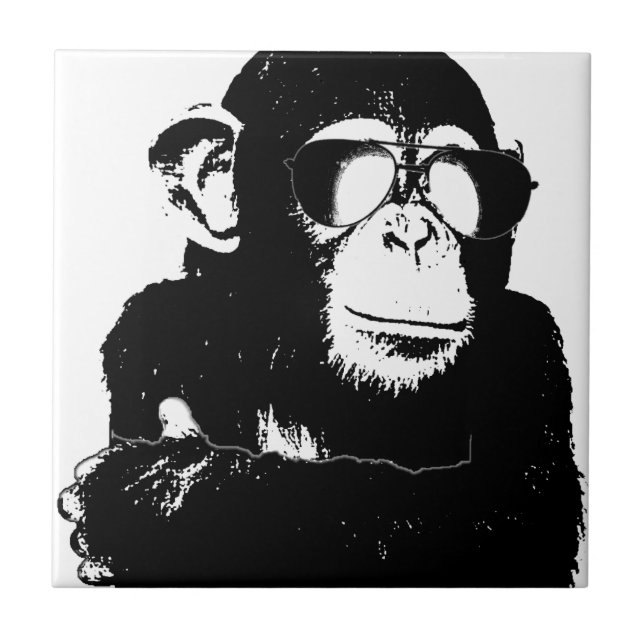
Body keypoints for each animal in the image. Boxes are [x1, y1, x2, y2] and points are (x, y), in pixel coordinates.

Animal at [59, 52, 584, 587]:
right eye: (346, 171)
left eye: (464, 185)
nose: (412, 232)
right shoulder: (151, 332)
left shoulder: (531, 347)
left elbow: (496, 503)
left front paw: (160, 499)